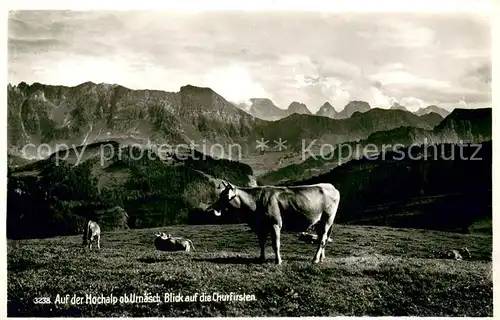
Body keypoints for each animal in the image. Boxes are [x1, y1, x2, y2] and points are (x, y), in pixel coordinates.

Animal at [207, 181, 340, 264]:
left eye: (225, 195)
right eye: (221, 194)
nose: (213, 207)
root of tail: (331, 187)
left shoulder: (275, 223)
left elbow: (276, 244)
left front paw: (278, 261)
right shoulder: (260, 227)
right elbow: (262, 243)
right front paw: (261, 258)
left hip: (327, 219)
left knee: (322, 239)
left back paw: (315, 259)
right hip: (319, 222)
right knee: (323, 238)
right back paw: (321, 258)